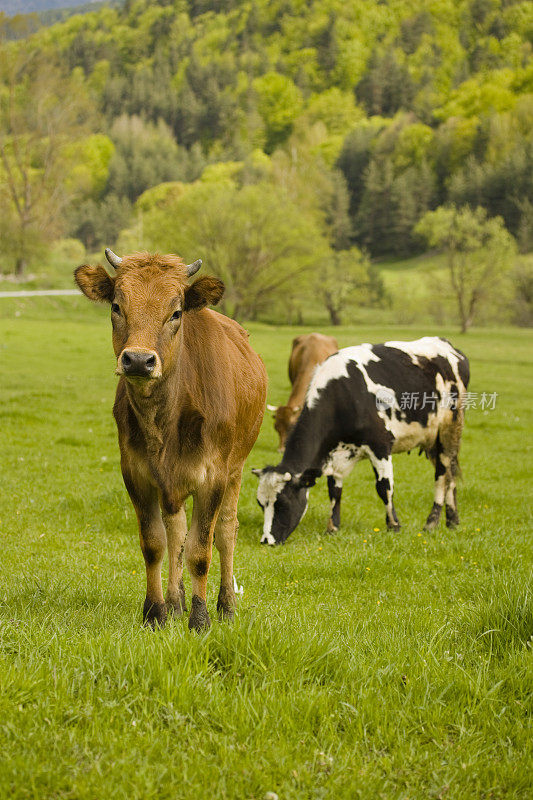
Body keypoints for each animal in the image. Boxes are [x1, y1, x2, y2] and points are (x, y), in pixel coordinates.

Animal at [74, 250, 266, 632]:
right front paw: (155, 612)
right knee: (176, 531)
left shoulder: (213, 477)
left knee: (226, 532)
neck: (163, 420)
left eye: (176, 313)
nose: (138, 360)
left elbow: (201, 550)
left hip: (235, 470)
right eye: (116, 306)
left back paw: (225, 605)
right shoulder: (136, 474)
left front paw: (200, 618)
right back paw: (176, 603)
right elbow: (155, 543)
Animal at [251, 334, 468, 548]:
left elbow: (384, 487)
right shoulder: (335, 454)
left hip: (449, 430)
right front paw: (332, 527)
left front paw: (394, 525)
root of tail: (447, 345)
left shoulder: (380, 445)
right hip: (432, 439)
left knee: (442, 475)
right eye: (260, 503)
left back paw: (432, 522)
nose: (266, 540)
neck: (343, 396)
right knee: (450, 475)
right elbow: (334, 491)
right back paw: (452, 521)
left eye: (283, 503)